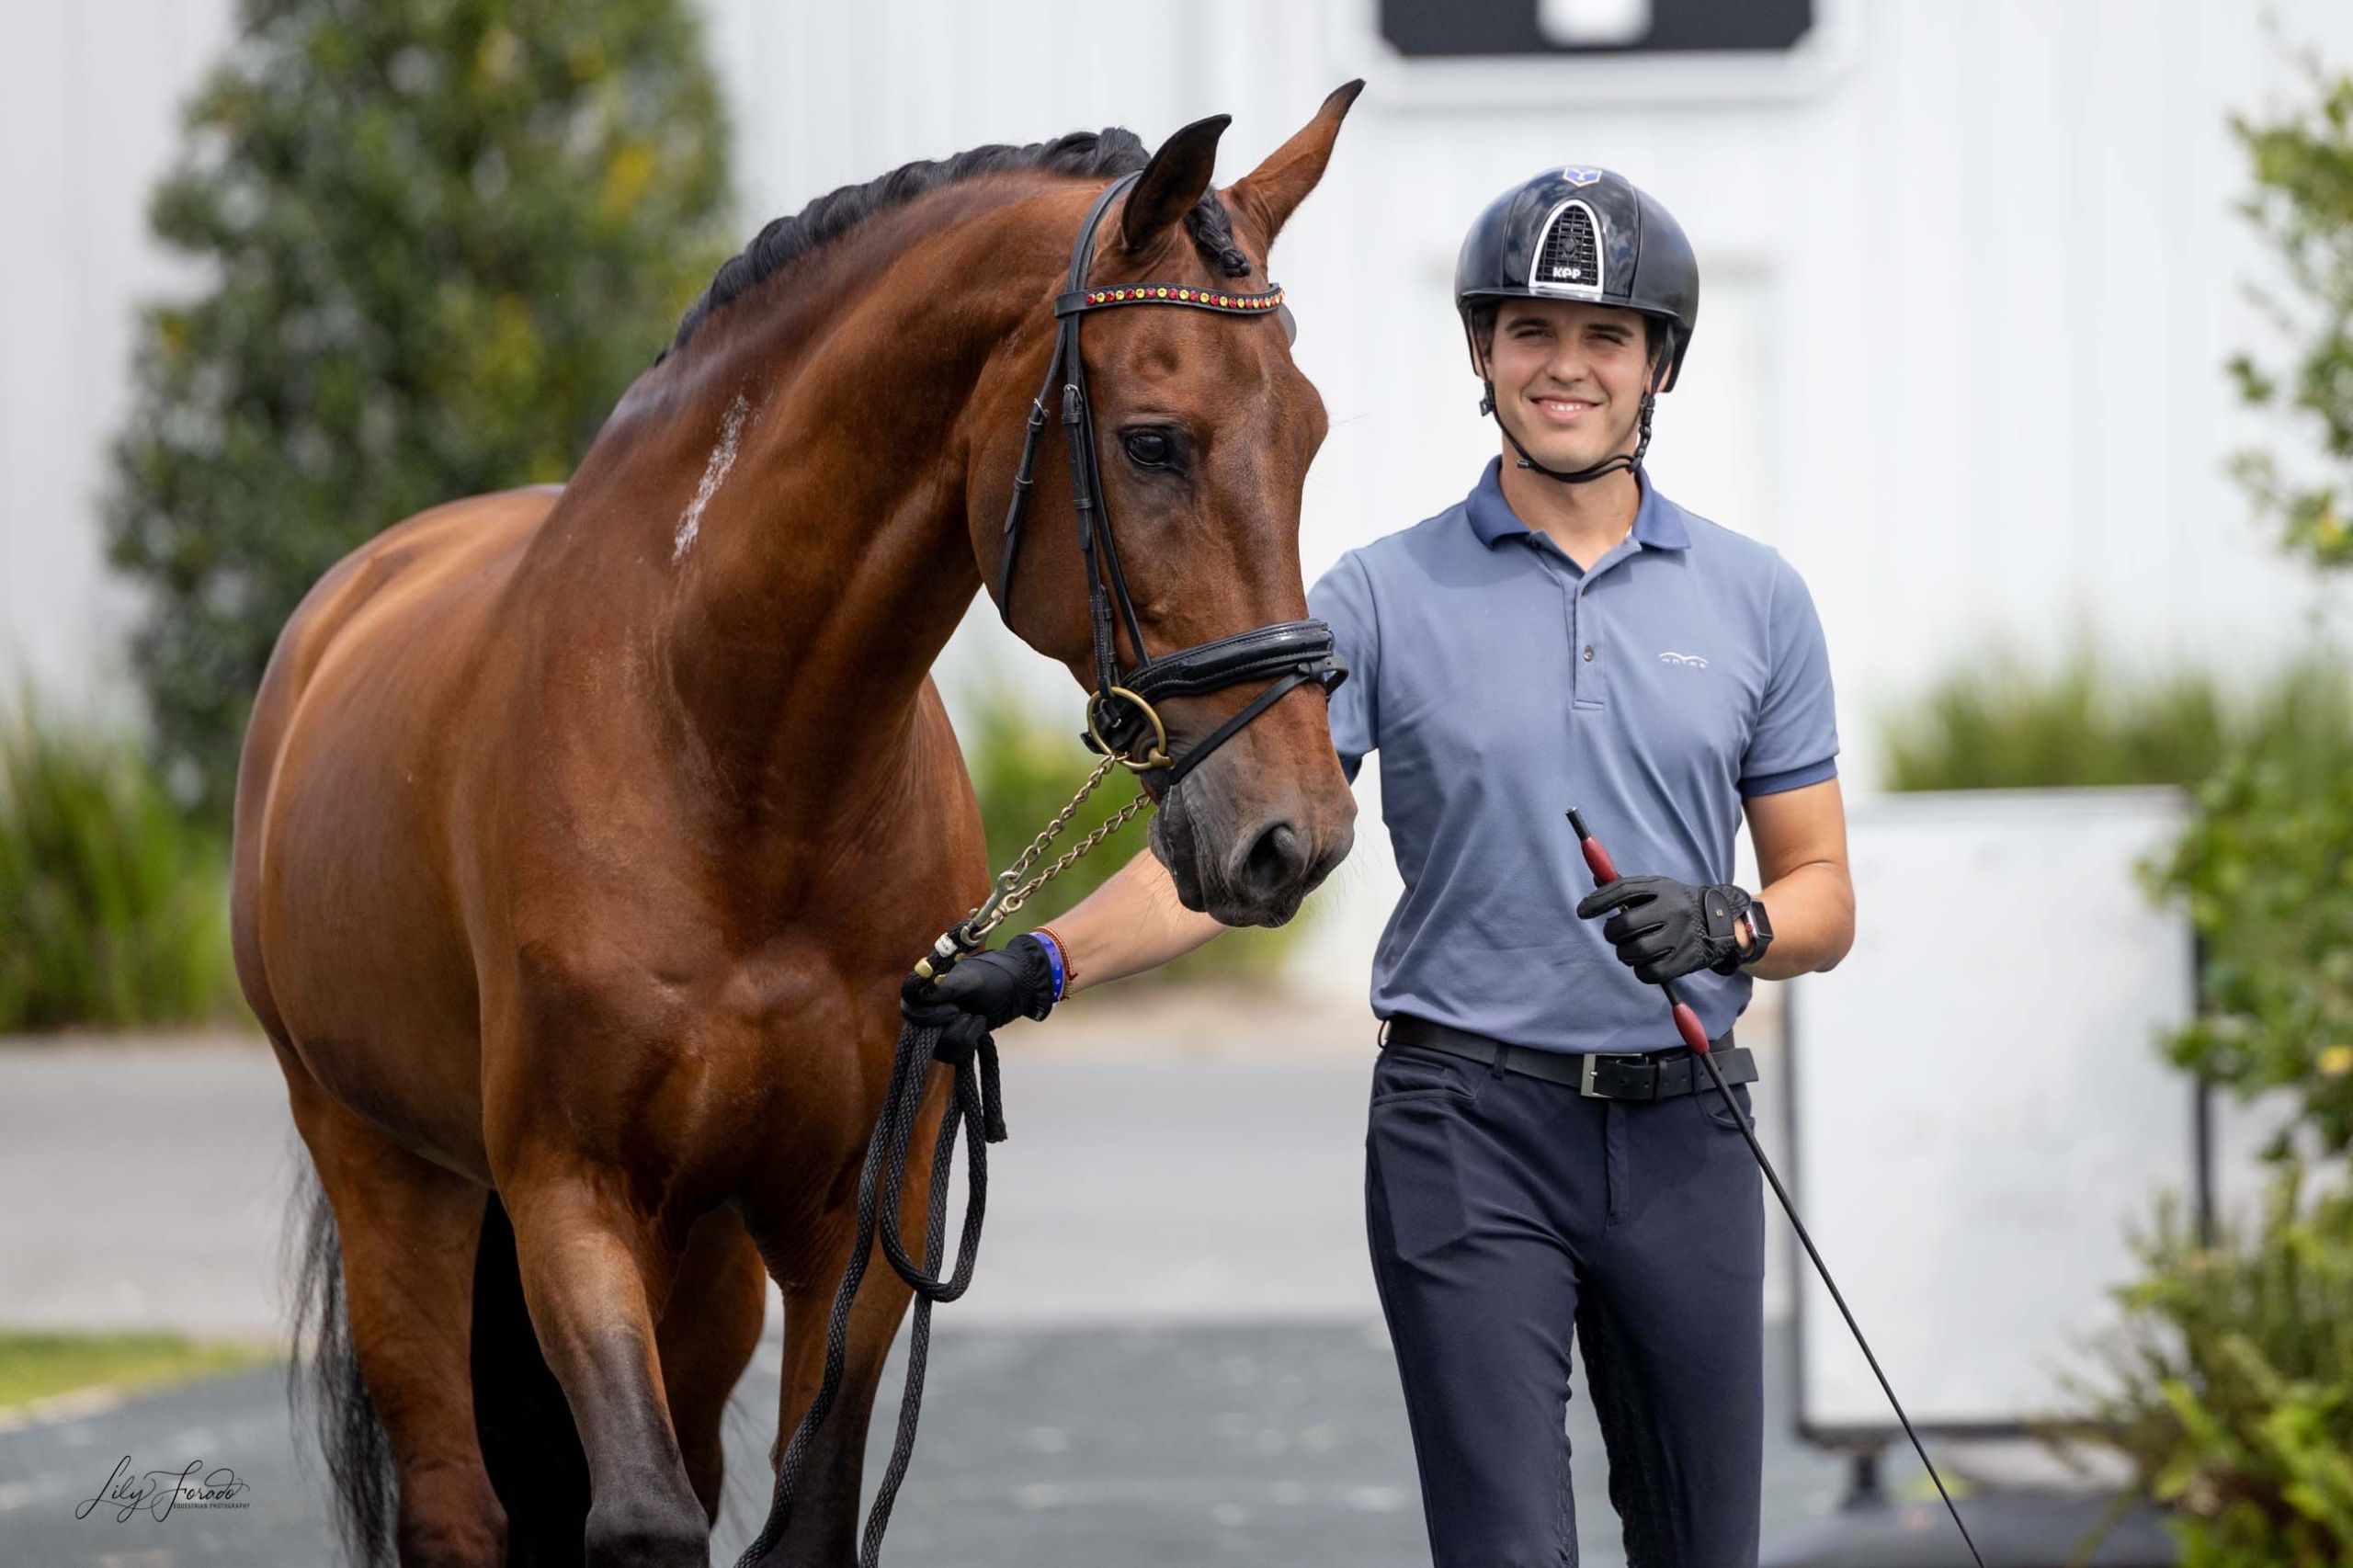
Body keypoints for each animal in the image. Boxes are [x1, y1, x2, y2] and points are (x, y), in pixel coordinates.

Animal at [233, 82, 1364, 1562]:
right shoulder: (568, 1194)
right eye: (1152, 439)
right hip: (390, 1174)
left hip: (698, 1253)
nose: (1298, 830)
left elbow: (806, 1509)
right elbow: (641, 1516)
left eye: (1310, 431)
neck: (736, 761)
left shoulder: (859, 1205)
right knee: (455, 1503)